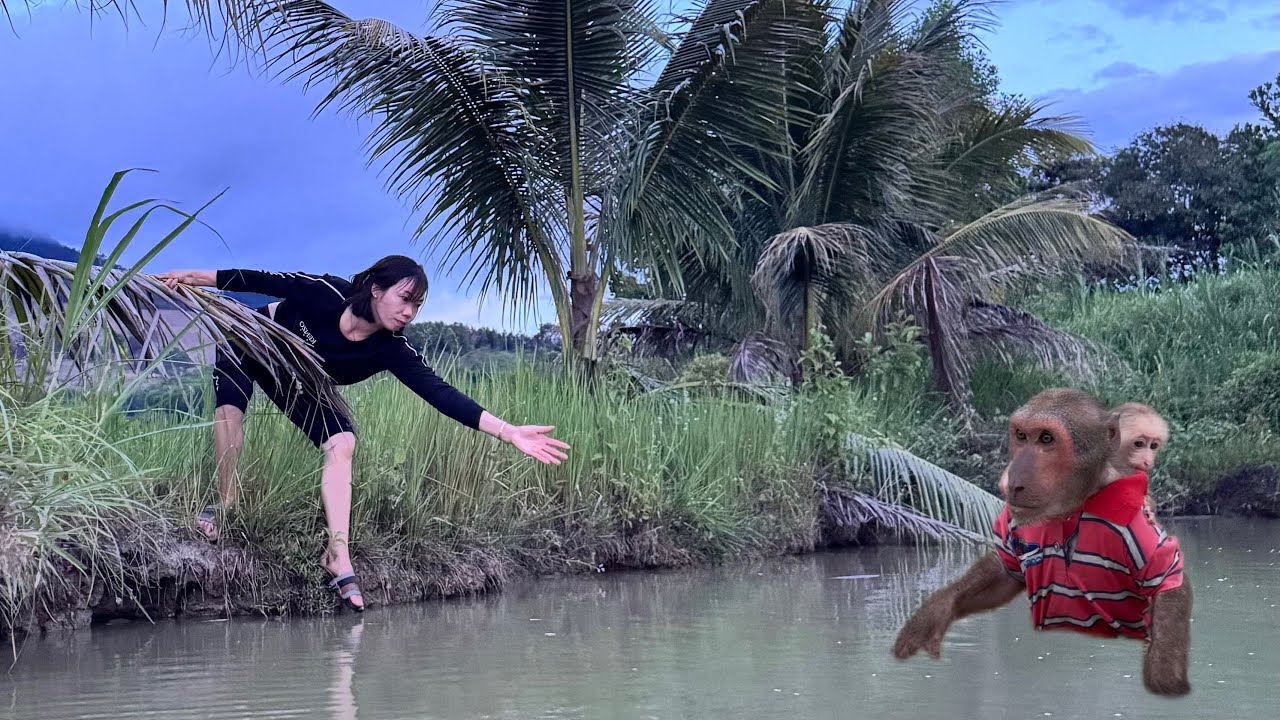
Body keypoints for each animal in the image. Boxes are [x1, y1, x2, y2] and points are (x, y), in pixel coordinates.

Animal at [893, 388, 1192, 697]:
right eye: (1021, 436)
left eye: (1047, 439)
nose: (1014, 481)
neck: (1073, 507)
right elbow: (1005, 572)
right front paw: (935, 611)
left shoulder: (1133, 528)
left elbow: (1167, 582)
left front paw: (1163, 673)